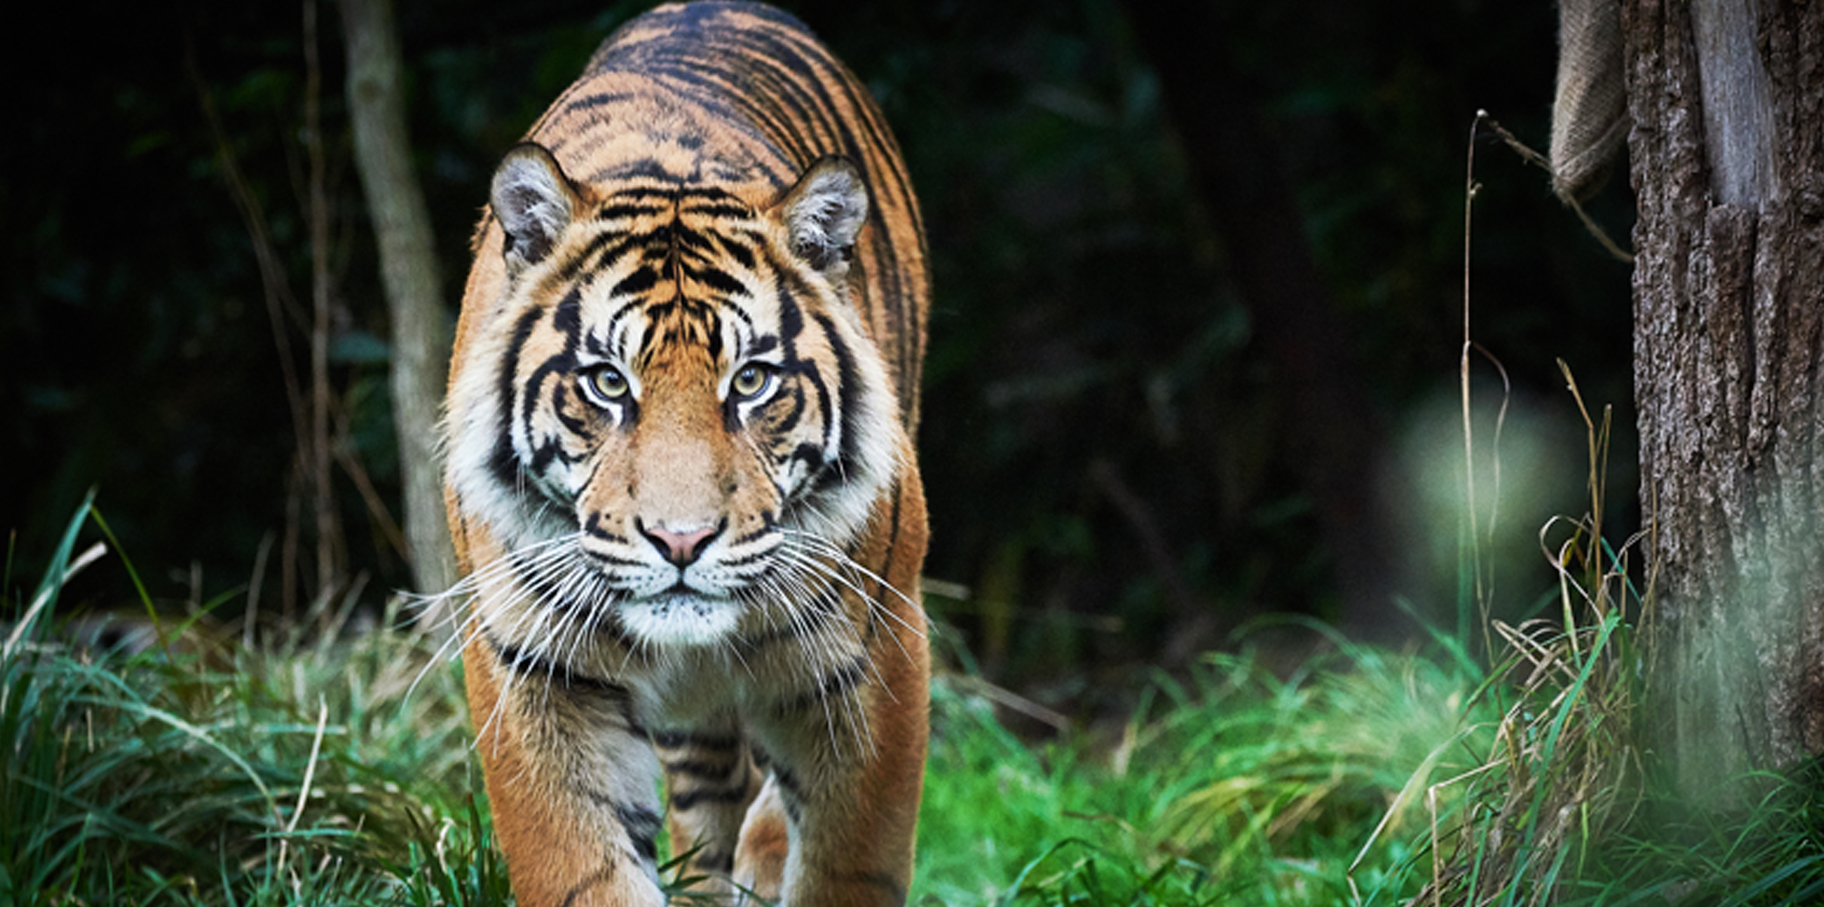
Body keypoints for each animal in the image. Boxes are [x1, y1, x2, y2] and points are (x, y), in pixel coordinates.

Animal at [438, 3, 931, 906]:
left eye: (752, 380)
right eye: (606, 381)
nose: (680, 541)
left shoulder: (880, 648)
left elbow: (848, 856)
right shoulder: (534, 670)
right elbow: (582, 865)